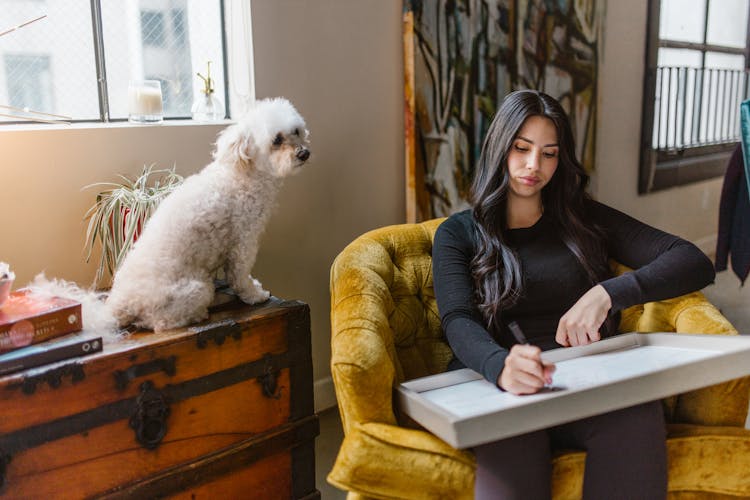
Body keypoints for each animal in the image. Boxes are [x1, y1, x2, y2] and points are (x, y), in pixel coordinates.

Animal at [104, 97, 310, 332]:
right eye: (276, 140)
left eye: (296, 131)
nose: (304, 153)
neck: (243, 173)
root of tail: (119, 304)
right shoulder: (243, 240)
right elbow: (240, 276)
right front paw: (255, 295)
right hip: (197, 289)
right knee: (161, 322)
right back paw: (198, 314)